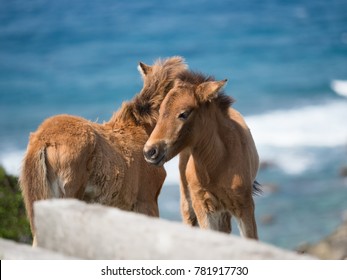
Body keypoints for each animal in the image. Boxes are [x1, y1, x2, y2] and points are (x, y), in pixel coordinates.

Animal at [144, 71, 260, 240]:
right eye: (160, 111)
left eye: (184, 114)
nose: (150, 152)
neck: (217, 166)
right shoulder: (202, 206)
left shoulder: (244, 206)